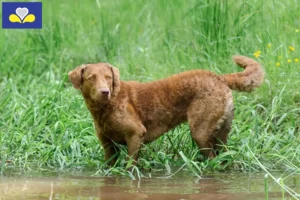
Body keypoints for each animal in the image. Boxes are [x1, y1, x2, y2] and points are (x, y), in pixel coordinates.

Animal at [68, 55, 264, 166]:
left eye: (108, 77)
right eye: (91, 78)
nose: (104, 92)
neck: (105, 109)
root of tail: (219, 77)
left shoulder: (135, 134)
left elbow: (131, 165)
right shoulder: (107, 144)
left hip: (200, 131)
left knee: (212, 157)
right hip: (222, 133)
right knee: (224, 156)